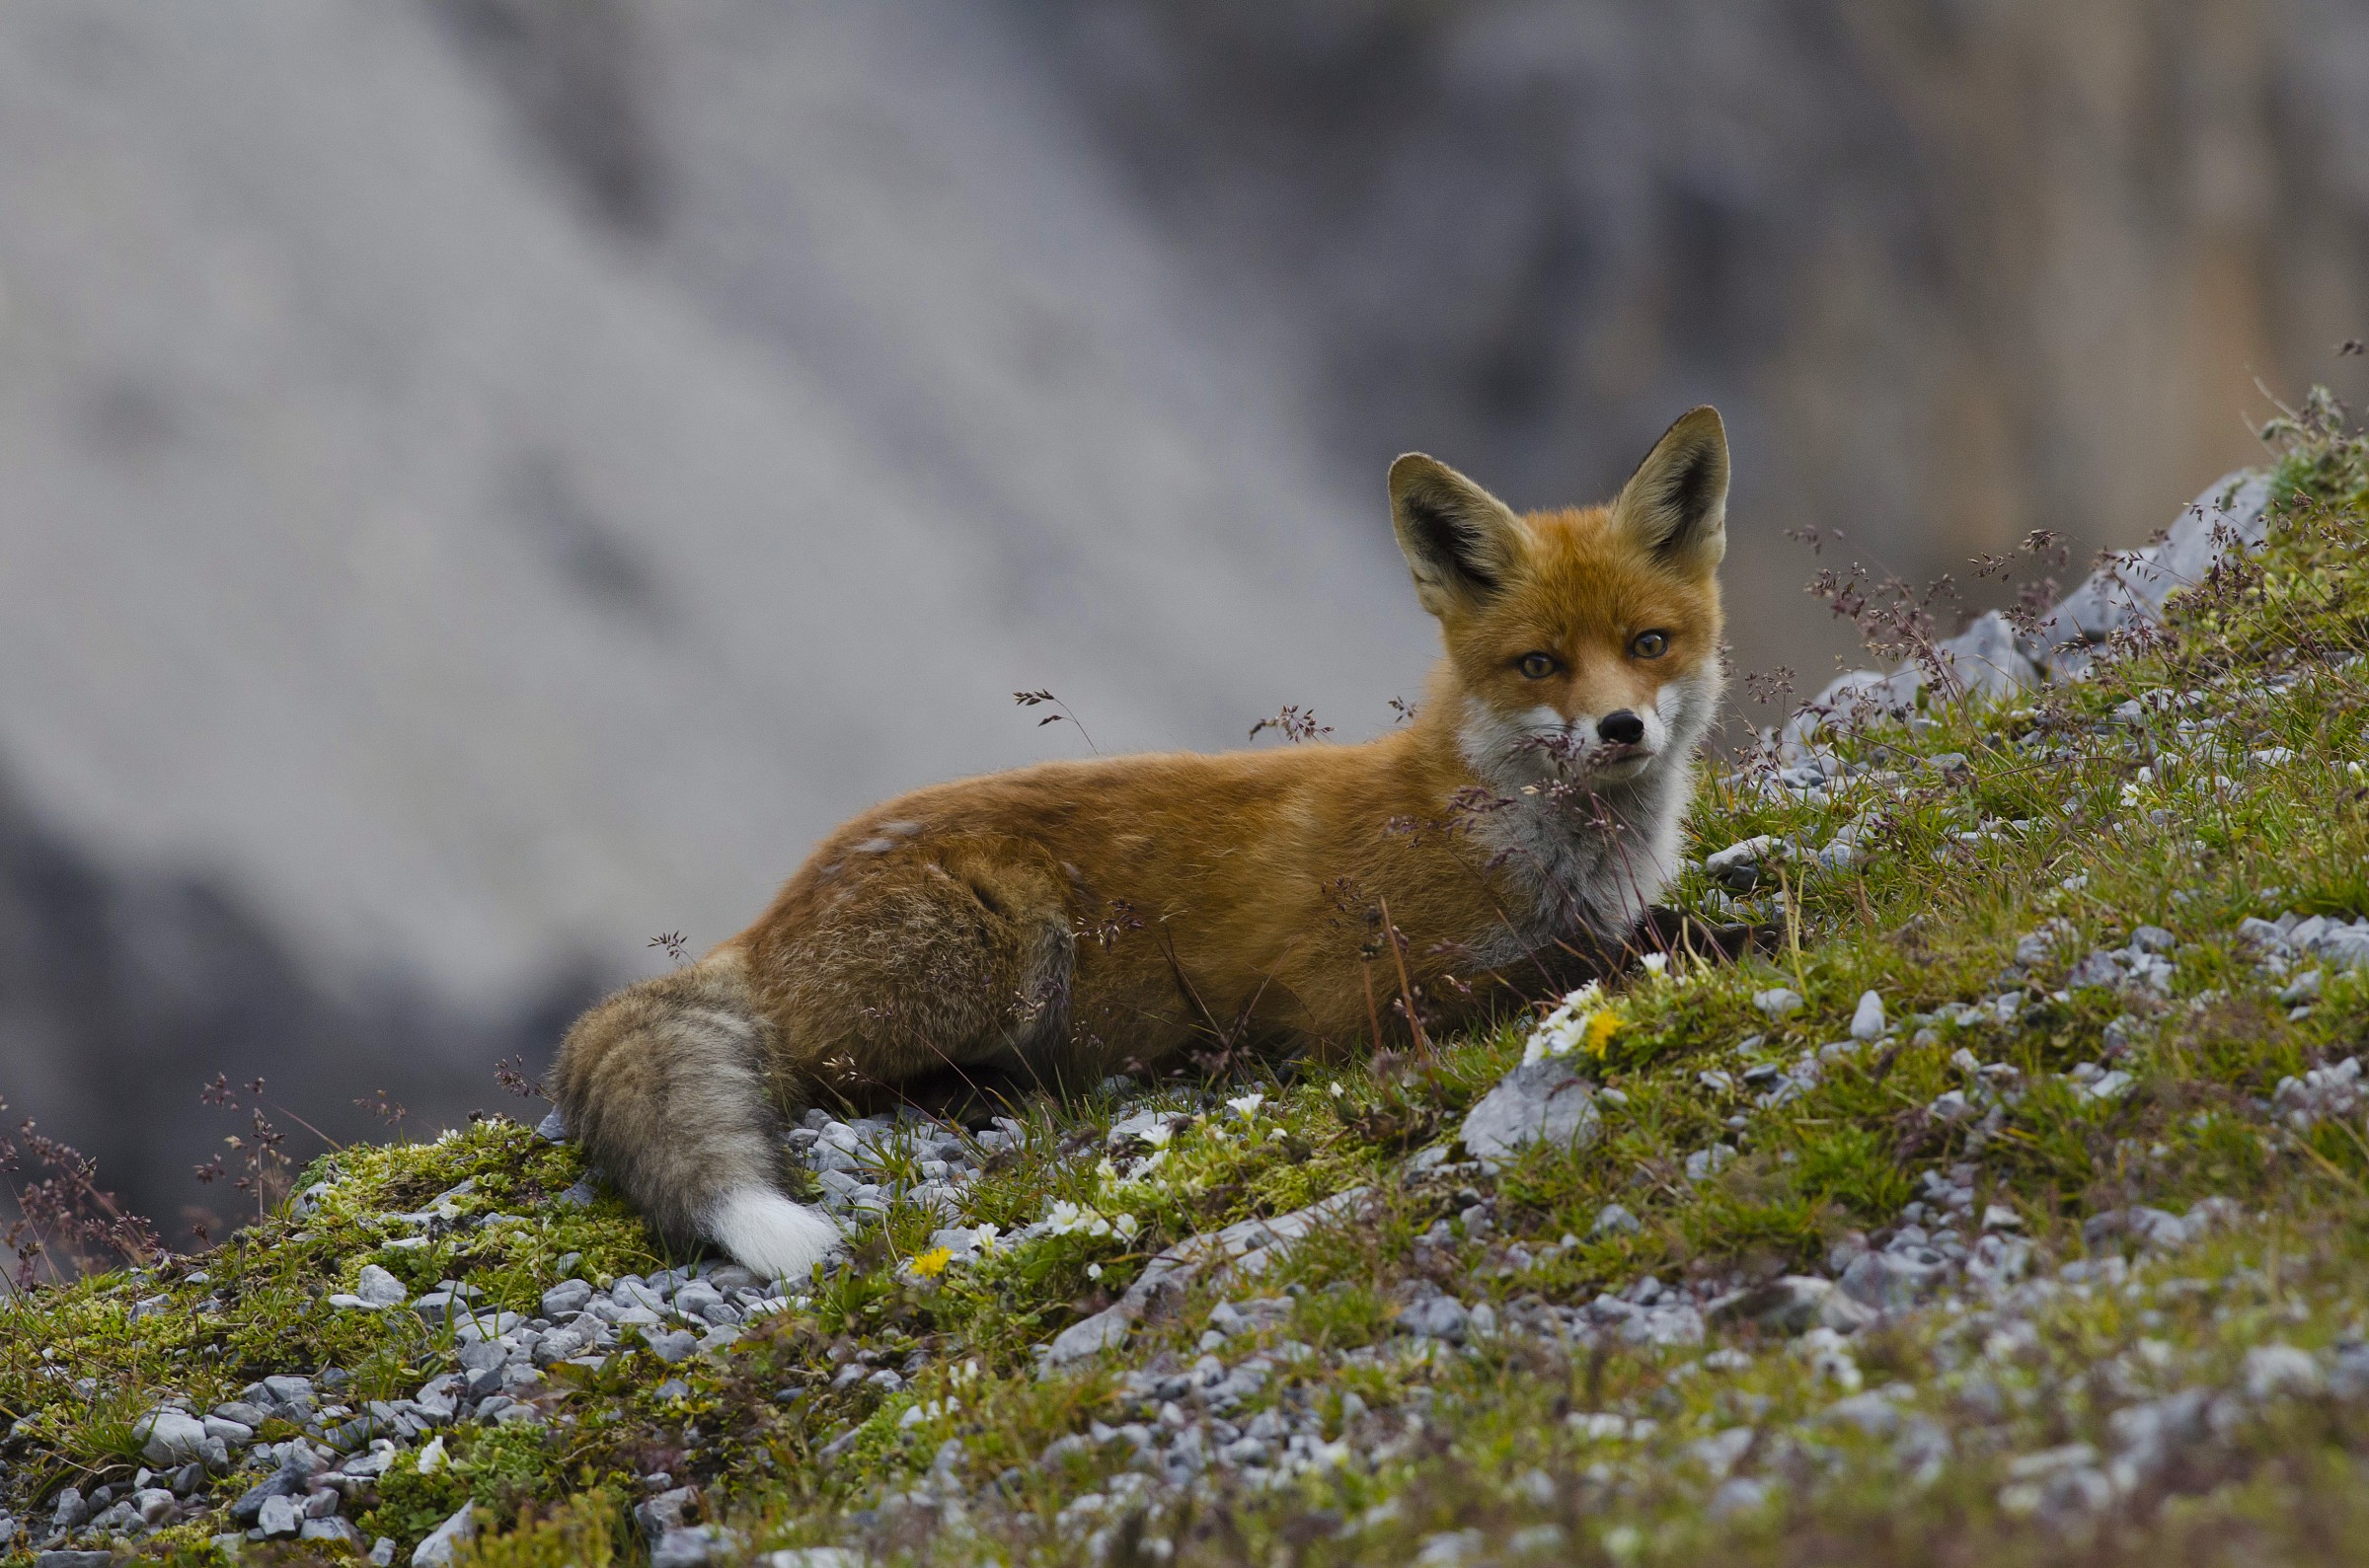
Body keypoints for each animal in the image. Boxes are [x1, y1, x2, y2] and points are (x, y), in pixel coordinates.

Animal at [552, 407, 1733, 1282]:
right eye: (1540, 663)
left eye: (1648, 644)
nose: (1620, 728)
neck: (1524, 837)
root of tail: (765, 923)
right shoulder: (1356, 995)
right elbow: (1578, 960)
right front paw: (1714, 940)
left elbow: (1637, 930)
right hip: (1009, 957)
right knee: (835, 1081)